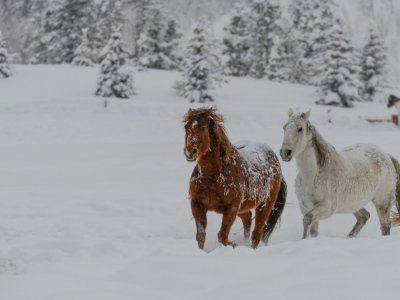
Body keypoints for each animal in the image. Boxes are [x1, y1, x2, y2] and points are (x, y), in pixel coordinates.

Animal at [183, 107, 286, 248]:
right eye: (186, 127)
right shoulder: (197, 204)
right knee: (248, 219)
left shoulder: (231, 208)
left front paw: (233, 244)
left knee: (257, 233)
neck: (212, 177)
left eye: (203, 128)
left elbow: (222, 235)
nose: (190, 152)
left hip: (265, 205)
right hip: (243, 208)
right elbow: (201, 236)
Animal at [280, 109, 400, 238]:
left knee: (385, 226)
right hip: (353, 203)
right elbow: (313, 231)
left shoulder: (326, 208)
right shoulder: (305, 206)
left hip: (382, 202)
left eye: (300, 128)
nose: (285, 153)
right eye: (284, 127)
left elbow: (307, 219)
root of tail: (387, 155)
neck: (312, 176)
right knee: (364, 216)